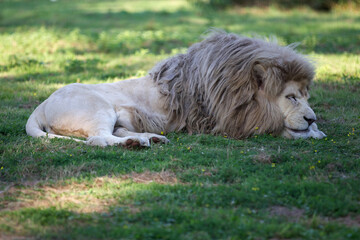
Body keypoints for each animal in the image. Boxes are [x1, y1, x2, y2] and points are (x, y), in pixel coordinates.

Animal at [26, 31, 326, 147]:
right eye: (291, 97)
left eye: (305, 96)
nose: (311, 118)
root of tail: (40, 105)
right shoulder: (227, 122)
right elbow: (277, 126)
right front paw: (310, 131)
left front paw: (315, 130)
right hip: (98, 108)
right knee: (98, 138)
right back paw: (134, 143)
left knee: (114, 132)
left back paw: (150, 138)